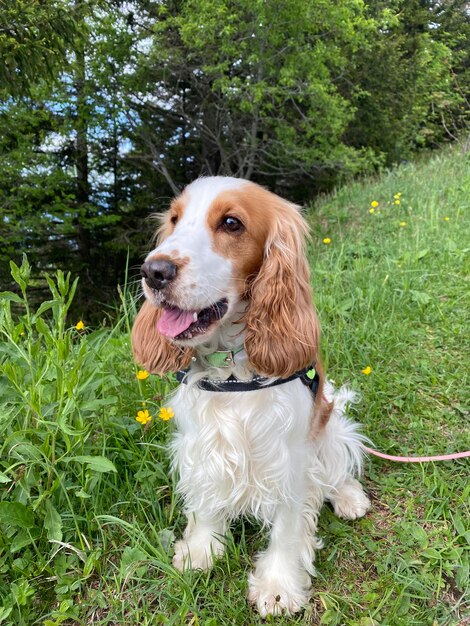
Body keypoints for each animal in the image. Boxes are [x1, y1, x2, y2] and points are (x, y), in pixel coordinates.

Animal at [130, 176, 370, 616]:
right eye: (174, 220)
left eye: (231, 223)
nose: (153, 271)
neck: (231, 370)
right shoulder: (201, 445)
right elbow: (206, 500)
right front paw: (200, 549)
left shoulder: (289, 459)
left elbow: (289, 526)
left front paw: (278, 585)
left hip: (328, 430)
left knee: (338, 468)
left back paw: (349, 498)